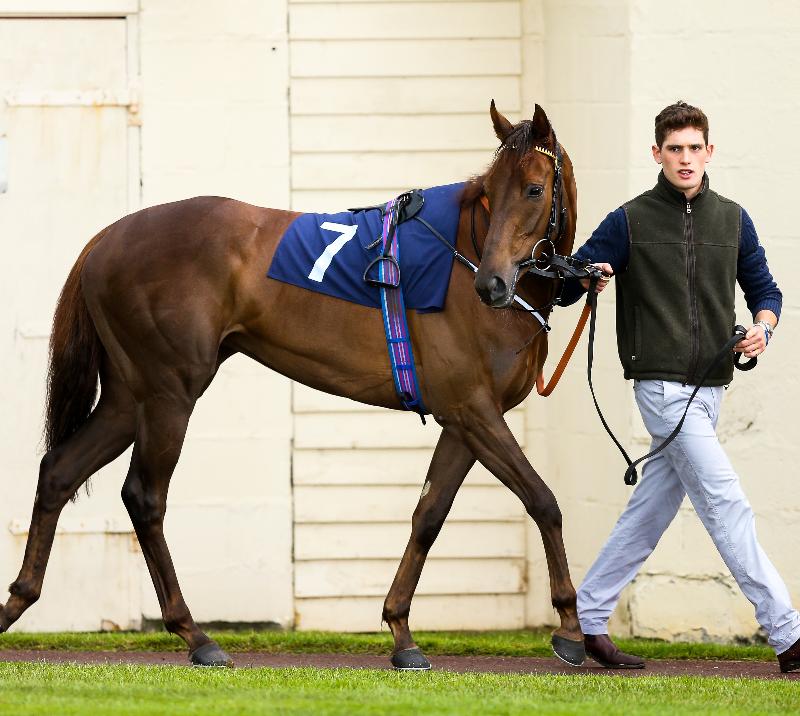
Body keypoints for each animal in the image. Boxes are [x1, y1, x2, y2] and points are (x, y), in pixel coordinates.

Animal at [0, 102, 585, 669]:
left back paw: (16, 602)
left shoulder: (465, 417)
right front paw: (572, 629)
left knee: (59, 470)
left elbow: (429, 515)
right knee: (144, 496)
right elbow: (543, 500)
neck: (462, 259)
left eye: (533, 189)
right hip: (169, 394)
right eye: (490, 190)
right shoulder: (471, 409)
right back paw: (195, 635)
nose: (492, 283)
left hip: (130, 396)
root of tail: (106, 237)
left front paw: (401, 631)